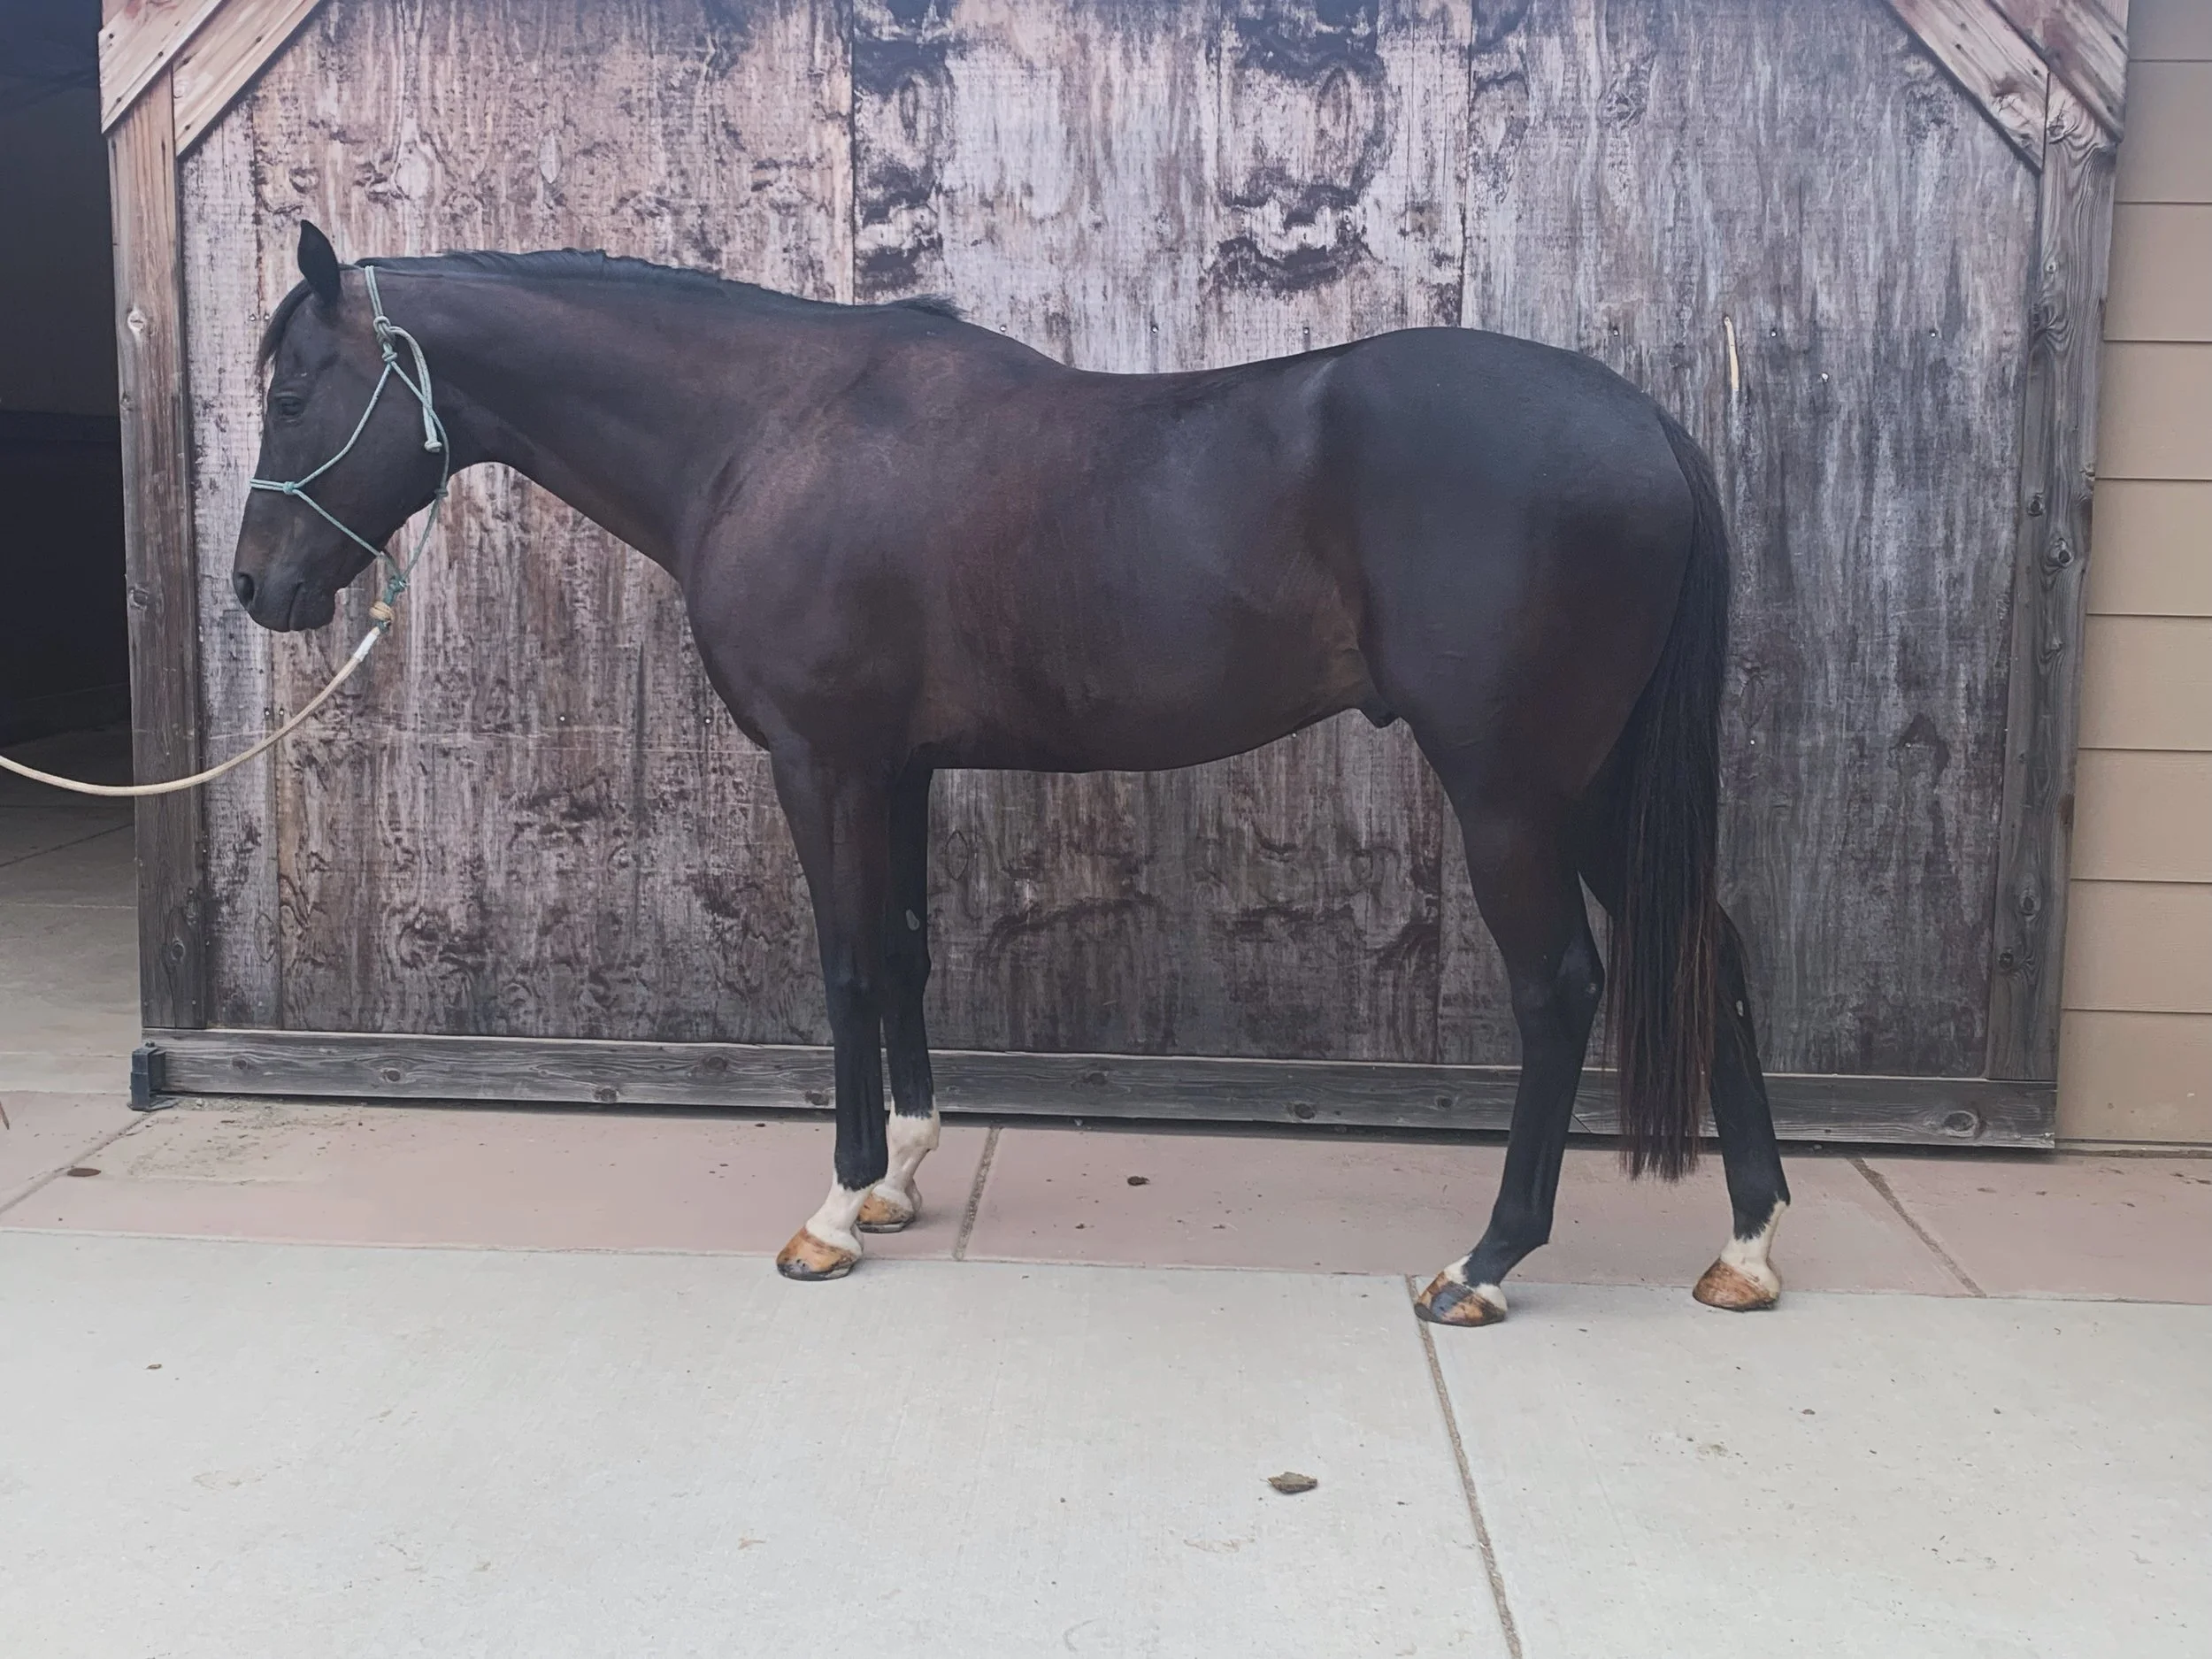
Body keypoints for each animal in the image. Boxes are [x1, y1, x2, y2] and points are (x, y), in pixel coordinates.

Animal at [233, 221, 1791, 1325]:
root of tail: (1648, 427)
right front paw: (905, 1174)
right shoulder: (898, 768)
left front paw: (834, 1212)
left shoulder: (823, 762)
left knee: (1563, 988)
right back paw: (1748, 1243)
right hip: (1601, 788)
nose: (257, 585)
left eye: (297, 391)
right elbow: (906, 948)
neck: (770, 431)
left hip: (1518, 790)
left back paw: (1484, 1261)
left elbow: (847, 963)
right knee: (1710, 948)